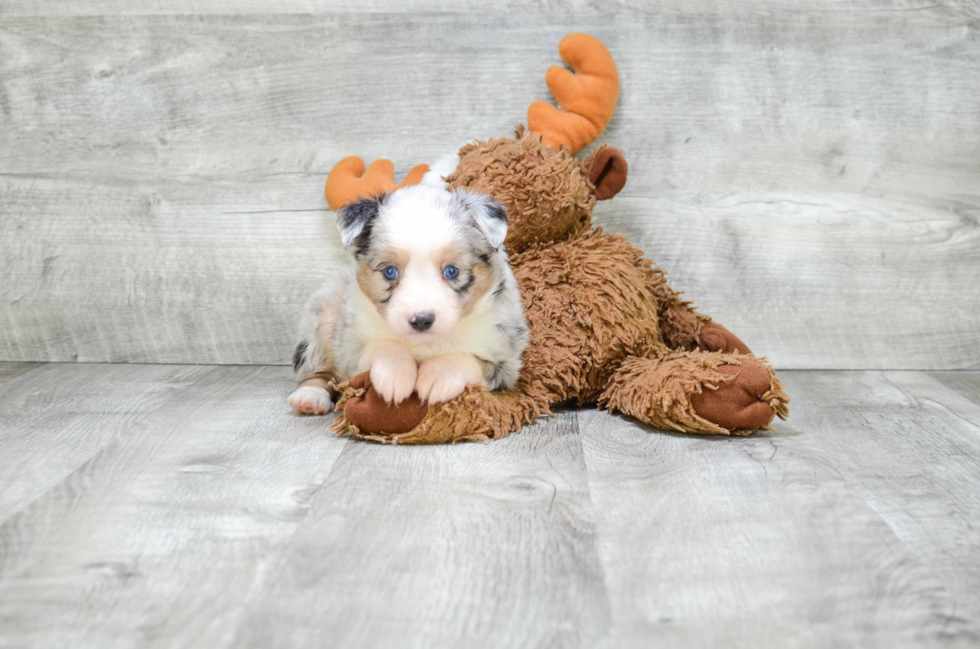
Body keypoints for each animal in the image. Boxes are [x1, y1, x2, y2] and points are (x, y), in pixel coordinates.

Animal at [290, 182, 528, 416]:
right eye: (390, 272)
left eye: (451, 271)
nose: (421, 320)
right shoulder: (349, 347)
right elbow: (384, 345)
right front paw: (394, 374)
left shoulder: (505, 360)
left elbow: (467, 358)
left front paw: (438, 376)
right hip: (325, 313)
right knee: (317, 369)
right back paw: (310, 397)